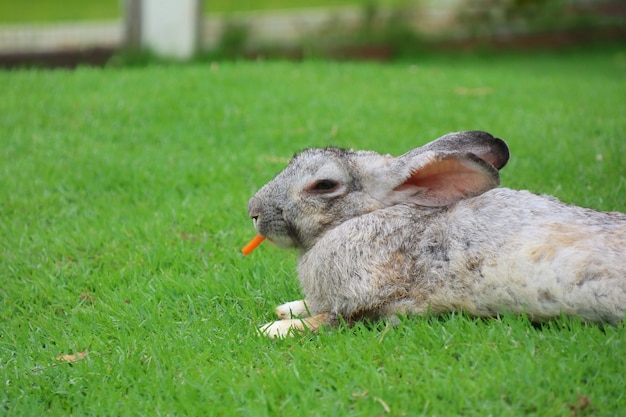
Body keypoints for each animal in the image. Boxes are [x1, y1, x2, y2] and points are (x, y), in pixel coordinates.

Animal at [246, 131, 620, 338]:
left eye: (323, 185)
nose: (253, 211)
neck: (366, 216)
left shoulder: (379, 303)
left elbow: (330, 319)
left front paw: (275, 329)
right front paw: (287, 308)